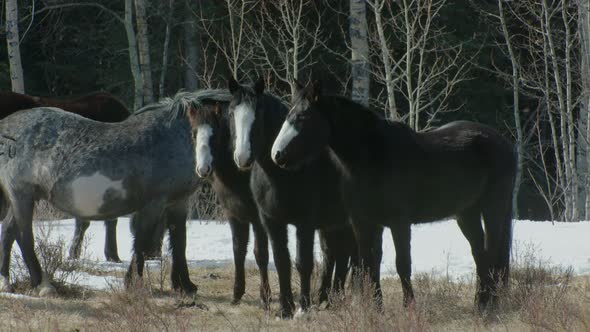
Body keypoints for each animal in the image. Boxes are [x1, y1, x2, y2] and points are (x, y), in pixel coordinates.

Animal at [227, 78, 366, 320]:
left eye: (258, 113)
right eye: (230, 112)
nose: (242, 157)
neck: (280, 174)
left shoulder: (305, 223)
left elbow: (303, 263)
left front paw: (303, 307)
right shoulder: (271, 222)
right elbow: (281, 261)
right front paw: (285, 309)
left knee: (353, 256)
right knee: (338, 254)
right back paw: (329, 298)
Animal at [272, 80, 520, 312]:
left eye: (303, 116)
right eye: (288, 115)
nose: (277, 155)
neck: (371, 158)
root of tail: (505, 144)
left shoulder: (399, 222)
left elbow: (402, 264)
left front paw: (409, 307)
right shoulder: (364, 222)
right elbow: (369, 263)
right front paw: (375, 308)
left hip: (493, 208)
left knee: (492, 252)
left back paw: (490, 306)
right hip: (466, 213)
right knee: (480, 253)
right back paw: (480, 304)